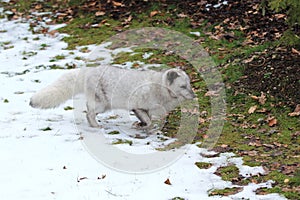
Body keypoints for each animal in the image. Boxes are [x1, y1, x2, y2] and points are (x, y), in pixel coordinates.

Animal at [29, 65, 196, 128]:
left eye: (189, 84)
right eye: (183, 86)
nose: (194, 96)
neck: (160, 88)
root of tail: (88, 70)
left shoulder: (141, 109)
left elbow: (146, 119)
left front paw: (141, 125)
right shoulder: (138, 106)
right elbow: (148, 121)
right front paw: (147, 127)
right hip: (102, 105)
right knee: (89, 112)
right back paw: (96, 126)